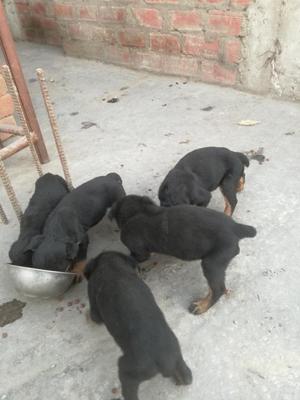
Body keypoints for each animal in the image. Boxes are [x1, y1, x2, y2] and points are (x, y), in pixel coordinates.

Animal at [84, 252, 192, 400]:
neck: (111, 264)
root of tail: (163, 359)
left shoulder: (94, 306)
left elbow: (93, 315)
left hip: (127, 371)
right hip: (178, 356)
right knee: (186, 376)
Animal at [109, 196, 256, 316]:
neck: (140, 211)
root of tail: (236, 228)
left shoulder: (139, 251)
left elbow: (134, 257)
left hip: (212, 263)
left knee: (218, 289)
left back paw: (202, 306)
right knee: (219, 287)